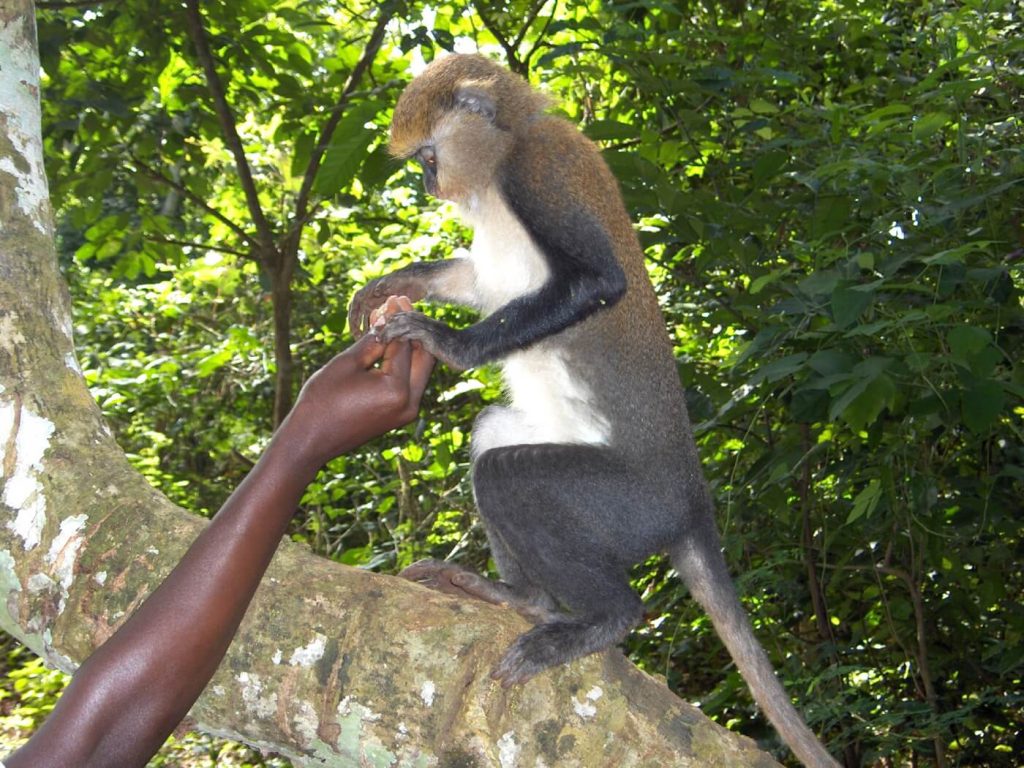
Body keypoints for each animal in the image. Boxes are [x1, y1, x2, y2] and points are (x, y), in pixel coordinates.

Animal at [350, 55, 839, 768]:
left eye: (428, 158)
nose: (428, 183)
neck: (503, 151)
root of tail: (692, 505)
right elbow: (478, 281)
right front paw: (397, 282)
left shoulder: (538, 174)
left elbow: (597, 282)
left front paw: (446, 343)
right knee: (491, 435)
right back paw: (521, 597)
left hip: (629, 508)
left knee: (512, 475)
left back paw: (606, 617)